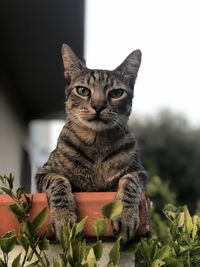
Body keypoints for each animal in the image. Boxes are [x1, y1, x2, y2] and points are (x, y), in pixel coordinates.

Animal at [36, 44, 148, 245]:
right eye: (83, 91)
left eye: (116, 93)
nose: (98, 106)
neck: (97, 144)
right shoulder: (44, 172)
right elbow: (58, 182)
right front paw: (63, 217)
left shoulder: (139, 172)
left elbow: (130, 182)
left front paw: (125, 214)